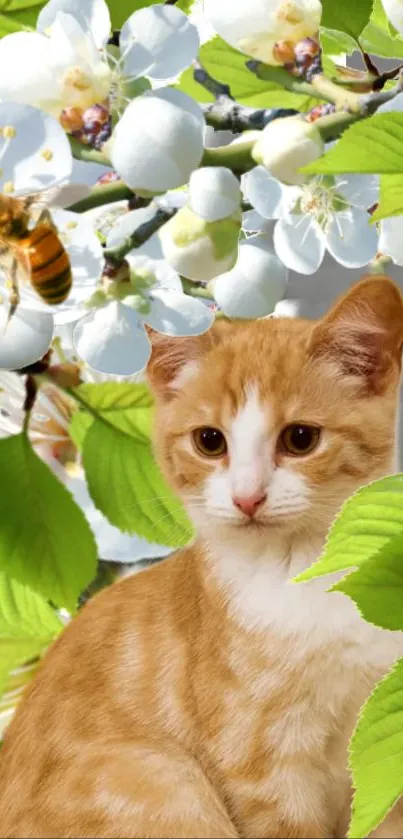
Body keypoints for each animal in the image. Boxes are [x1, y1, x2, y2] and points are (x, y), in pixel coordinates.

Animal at [0, 278, 403, 839]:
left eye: (301, 438)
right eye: (210, 441)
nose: (247, 498)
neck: (305, 577)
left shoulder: (385, 757)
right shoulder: (262, 769)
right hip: (160, 776)